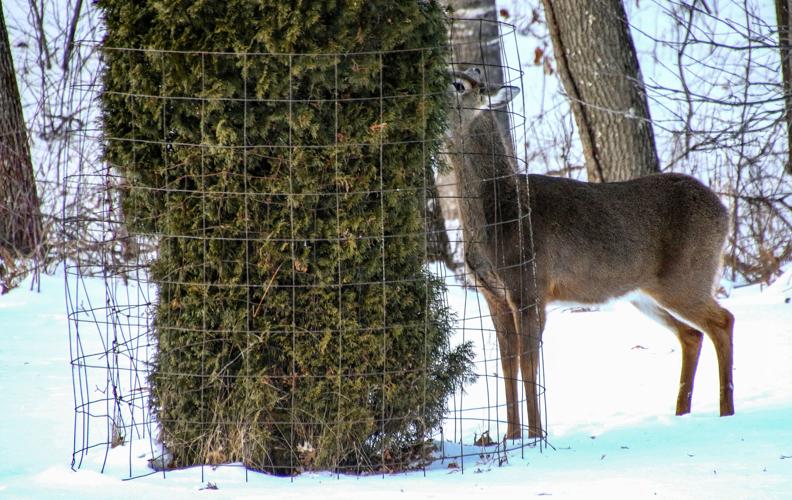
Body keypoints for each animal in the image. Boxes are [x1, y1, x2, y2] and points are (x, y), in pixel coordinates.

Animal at [443, 67, 735, 440]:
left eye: (458, 84)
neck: (498, 210)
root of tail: (724, 212)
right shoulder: (492, 293)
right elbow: (507, 363)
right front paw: (510, 436)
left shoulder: (530, 286)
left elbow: (528, 363)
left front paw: (535, 435)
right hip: (644, 293)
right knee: (692, 334)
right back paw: (682, 414)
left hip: (687, 276)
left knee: (722, 321)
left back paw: (727, 413)